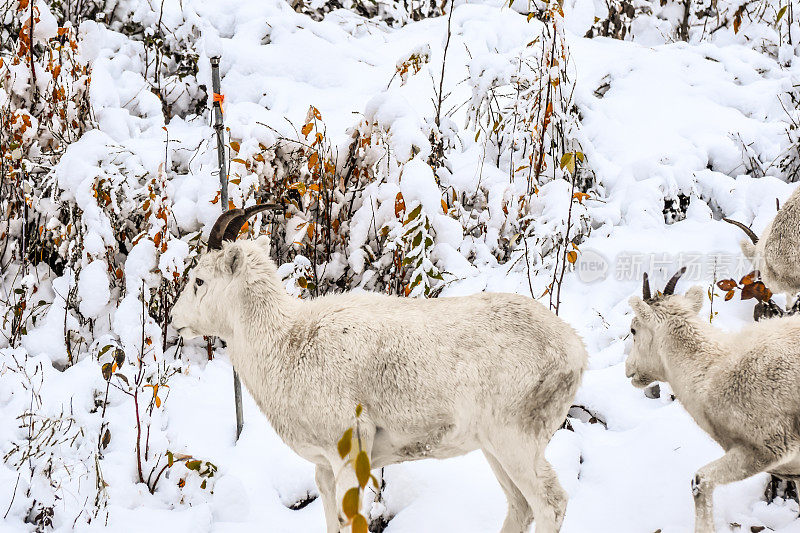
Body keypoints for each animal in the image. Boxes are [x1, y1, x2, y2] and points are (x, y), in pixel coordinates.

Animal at [170, 206, 588, 532]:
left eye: (199, 280)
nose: (175, 320)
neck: (289, 344)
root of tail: (575, 349)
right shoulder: (324, 470)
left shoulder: (350, 453)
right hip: (493, 448)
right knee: (520, 507)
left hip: (515, 441)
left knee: (550, 504)